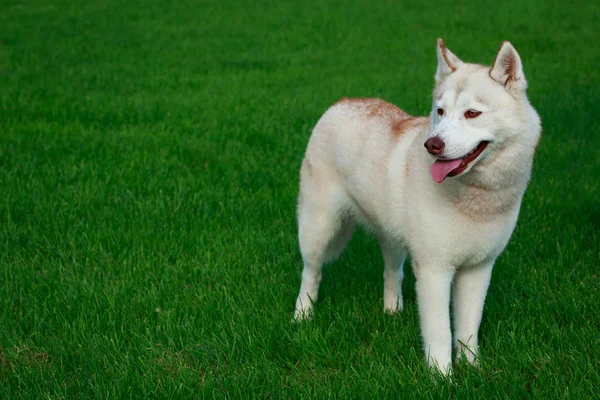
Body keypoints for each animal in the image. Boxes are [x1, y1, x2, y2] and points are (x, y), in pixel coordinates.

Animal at [292, 38, 540, 376]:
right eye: (440, 111)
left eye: (472, 113)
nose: (432, 145)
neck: (475, 199)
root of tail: (342, 101)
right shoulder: (435, 271)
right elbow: (440, 333)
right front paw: (442, 376)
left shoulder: (478, 268)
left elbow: (467, 328)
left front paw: (472, 367)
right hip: (318, 229)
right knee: (311, 273)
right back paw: (302, 316)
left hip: (393, 238)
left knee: (392, 271)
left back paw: (392, 310)